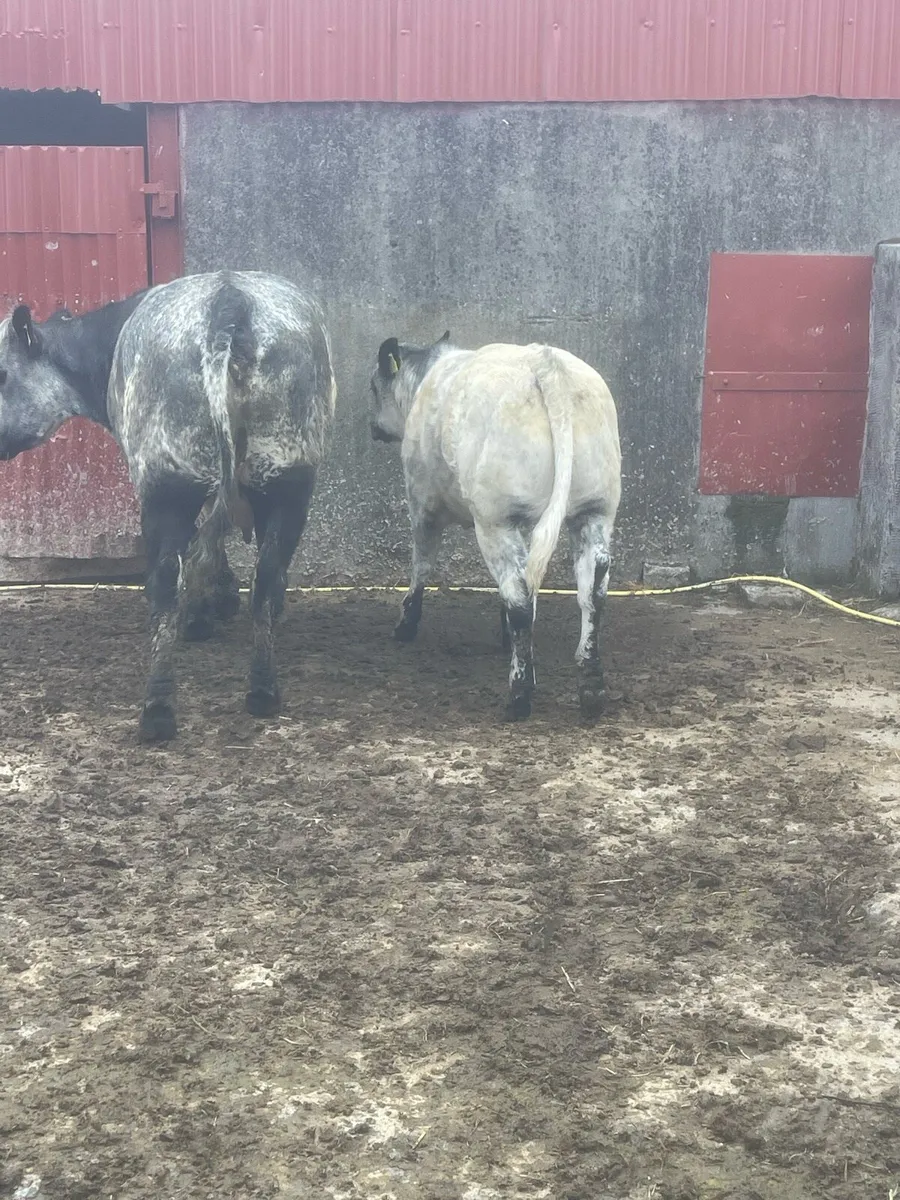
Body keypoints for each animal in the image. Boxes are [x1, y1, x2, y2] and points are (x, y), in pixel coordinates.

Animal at [0, 271, 336, 742]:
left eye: (1, 374)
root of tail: (229, 299)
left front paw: (205, 609)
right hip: (288, 476)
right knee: (265, 577)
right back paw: (263, 688)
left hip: (167, 485)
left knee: (164, 581)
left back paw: (158, 710)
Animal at [370, 333, 621, 721]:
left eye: (373, 387)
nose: (374, 428)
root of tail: (544, 363)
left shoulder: (422, 502)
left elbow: (421, 563)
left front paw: (407, 623)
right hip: (595, 510)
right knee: (590, 590)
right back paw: (591, 687)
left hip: (495, 520)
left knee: (518, 594)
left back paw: (520, 695)